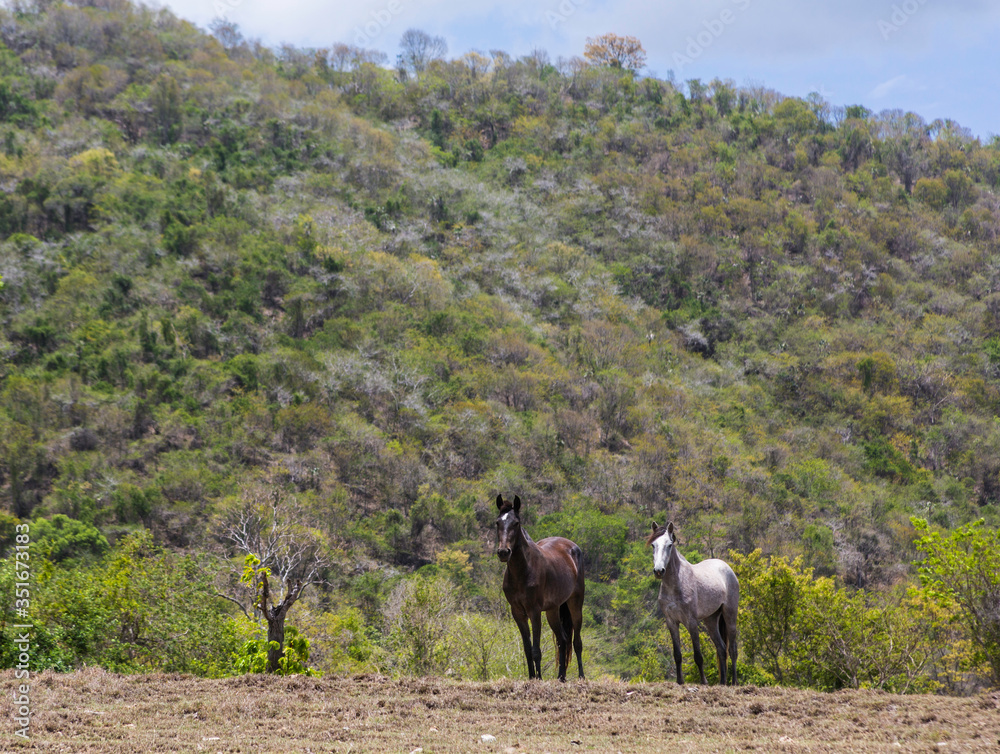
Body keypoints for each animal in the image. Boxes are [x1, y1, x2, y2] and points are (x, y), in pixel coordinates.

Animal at [495, 494, 585, 681]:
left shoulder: (534, 611)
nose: (503, 552)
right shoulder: (518, 613)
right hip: (553, 610)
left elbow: (536, 650)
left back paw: (581, 676)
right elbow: (527, 649)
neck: (523, 571)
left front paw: (539, 679)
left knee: (576, 642)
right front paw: (532, 678)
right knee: (562, 639)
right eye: (497, 522)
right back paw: (561, 677)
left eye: (516, 523)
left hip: (575, 603)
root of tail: (572, 546)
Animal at [648, 521, 739, 685]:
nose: (659, 571)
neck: (676, 584)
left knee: (732, 650)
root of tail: (726, 567)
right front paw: (680, 681)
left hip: (730, 615)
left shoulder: (691, 622)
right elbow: (677, 654)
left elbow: (698, 655)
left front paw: (704, 682)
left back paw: (734, 682)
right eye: (653, 545)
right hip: (711, 620)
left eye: (669, 545)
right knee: (721, 649)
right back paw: (722, 682)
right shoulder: (671, 622)